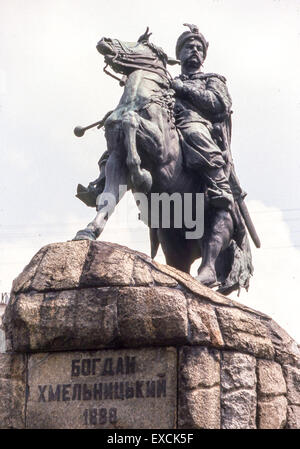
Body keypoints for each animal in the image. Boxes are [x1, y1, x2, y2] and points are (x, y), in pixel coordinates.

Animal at [74, 28, 253, 294]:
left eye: (142, 42)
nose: (104, 40)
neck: (138, 102)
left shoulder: (159, 149)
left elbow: (131, 122)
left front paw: (142, 176)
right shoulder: (115, 160)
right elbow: (107, 198)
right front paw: (88, 231)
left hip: (220, 217)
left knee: (214, 240)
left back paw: (203, 278)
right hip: (172, 240)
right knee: (179, 262)